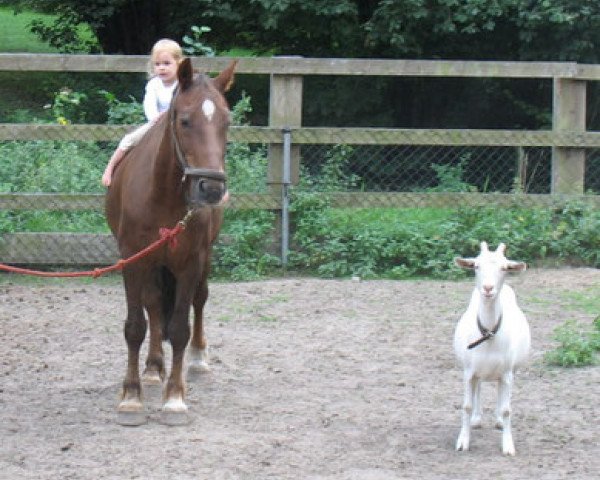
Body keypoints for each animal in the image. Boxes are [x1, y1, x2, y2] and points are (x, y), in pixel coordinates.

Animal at [105, 59, 237, 424]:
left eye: (227, 122)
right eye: (185, 120)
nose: (211, 188)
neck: (162, 193)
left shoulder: (190, 262)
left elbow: (179, 328)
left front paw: (175, 399)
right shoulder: (134, 259)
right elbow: (136, 326)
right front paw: (131, 398)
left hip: (203, 259)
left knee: (199, 301)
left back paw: (198, 360)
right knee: (152, 305)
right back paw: (152, 368)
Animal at [454, 242, 528, 456]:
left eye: (504, 268)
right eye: (476, 266)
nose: (488, 288)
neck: (487, 334)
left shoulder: (506, 373)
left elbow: (506, 409)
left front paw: (508, 446)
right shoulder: (468, 371)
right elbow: (467, 405)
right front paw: (463, 441)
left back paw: (498, 421)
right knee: (479, 387)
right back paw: (476, 420)